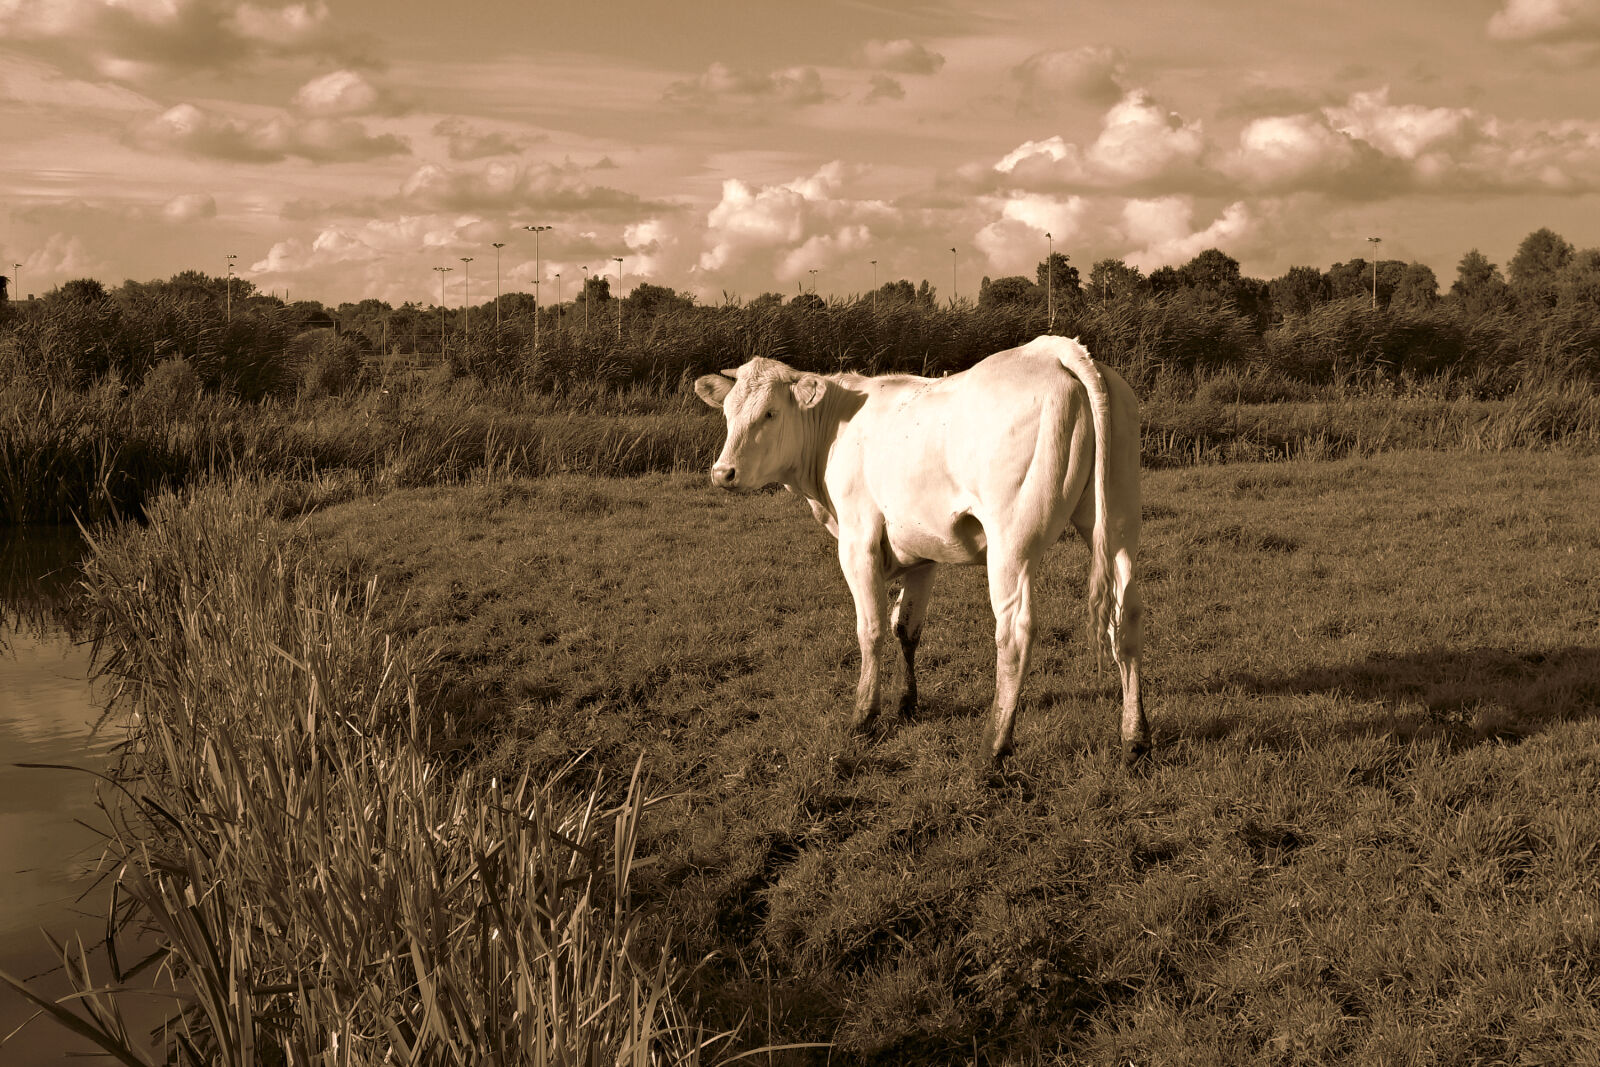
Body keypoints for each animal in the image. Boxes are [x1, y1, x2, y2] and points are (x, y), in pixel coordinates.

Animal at [694, 335, 1147, 766]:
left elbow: (871, 628)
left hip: (1012, 540)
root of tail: (1053, 349)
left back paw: (993, 746)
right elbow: (906, 628)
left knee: (1015, 635)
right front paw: (907, 705)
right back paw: (1134, 737)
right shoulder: (923, 550)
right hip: (1119, 521)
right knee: (1125, 618)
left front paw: (864, 715)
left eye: (770, 413)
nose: (723, 473)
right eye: (728, 413)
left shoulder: (858, 541)